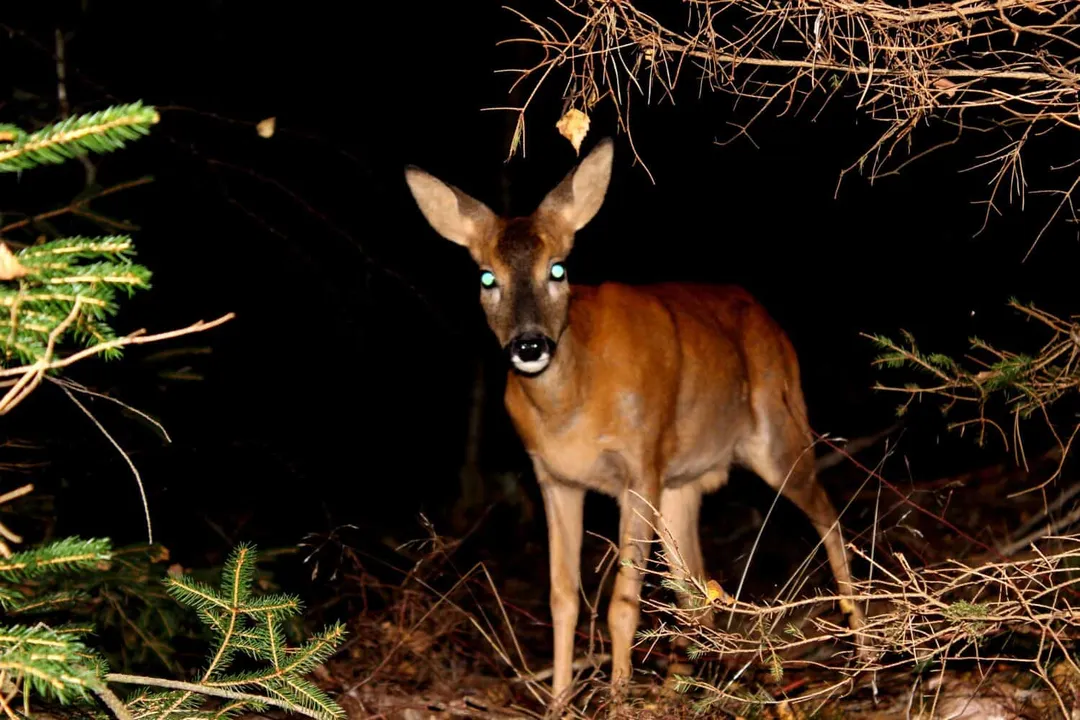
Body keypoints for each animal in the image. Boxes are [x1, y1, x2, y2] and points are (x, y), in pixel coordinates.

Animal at [403, 137, 865, 708]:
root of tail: (771, 321)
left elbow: (623, 603)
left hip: (779, 431)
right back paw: (681, 690)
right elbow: (563, 598)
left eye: (558, 269)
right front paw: (558, 704)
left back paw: (866, 657)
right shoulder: (554, 478)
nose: (529, 346)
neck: (571, 408)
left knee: (829, 518)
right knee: (697, 589)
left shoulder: (640, 465)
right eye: (488, 278)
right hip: (682, 484)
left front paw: (617, 699)